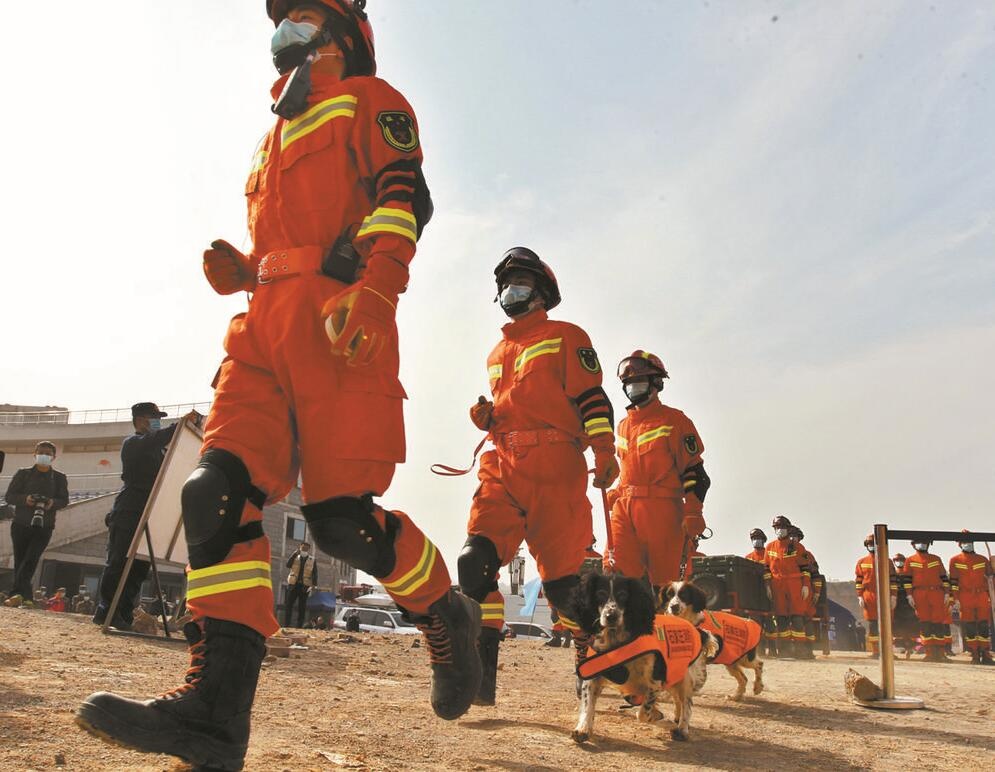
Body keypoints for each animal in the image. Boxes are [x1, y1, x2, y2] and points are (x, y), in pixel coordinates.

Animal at [568, 572, 716, 740]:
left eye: (623, 594)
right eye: (600, 593)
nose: (611, 616)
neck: (618, 641)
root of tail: (698, 631)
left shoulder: (655, 681)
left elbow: (643, 713)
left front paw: (658, 717)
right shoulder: (594, 676)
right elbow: (588, 705)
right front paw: (583, 728)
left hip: (684, 677)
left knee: (686, 704)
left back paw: (682, 729)